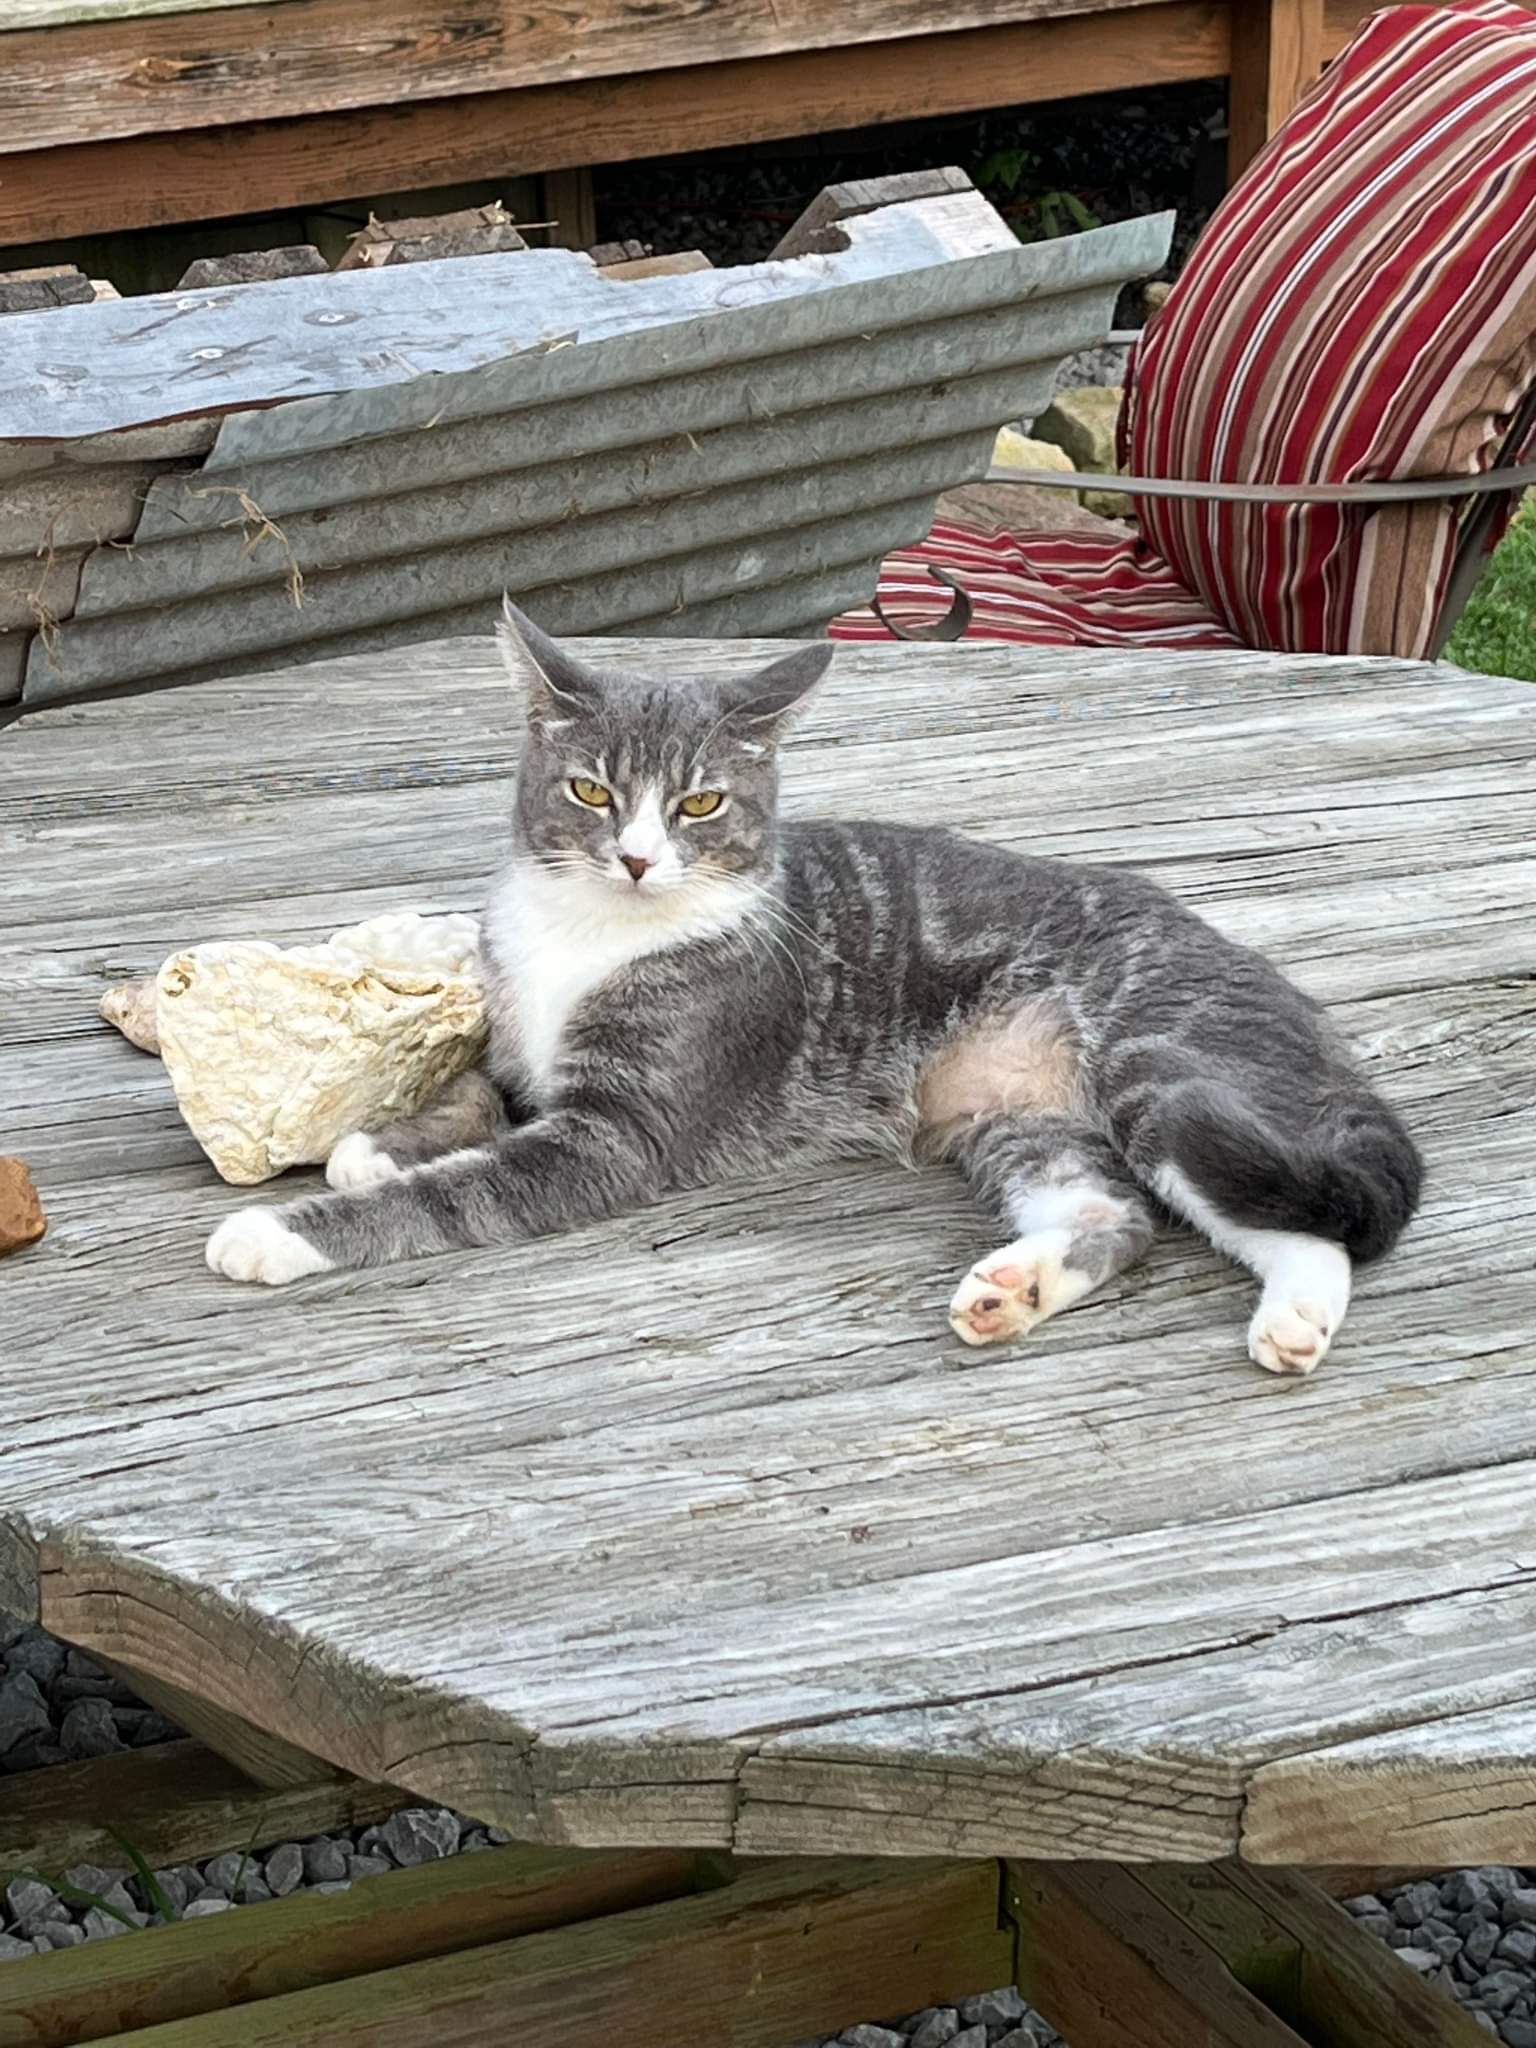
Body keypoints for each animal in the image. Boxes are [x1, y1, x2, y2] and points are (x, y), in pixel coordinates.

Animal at [210, 598, 1425, 1384]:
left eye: (700, 804)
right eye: (591, 791)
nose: (639, 858)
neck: (593, 934)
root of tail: (1268, 982)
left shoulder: (618, 1135)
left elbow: (454, 1192)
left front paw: (282, 1228)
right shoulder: (525, 1049)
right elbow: (473, 1094)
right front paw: (378, 1141)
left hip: (1162, 1069)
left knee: (1302, 1216)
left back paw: (1296, 1320)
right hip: (1020, 1118)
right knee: (1113, 1215)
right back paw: (1013, 1289)